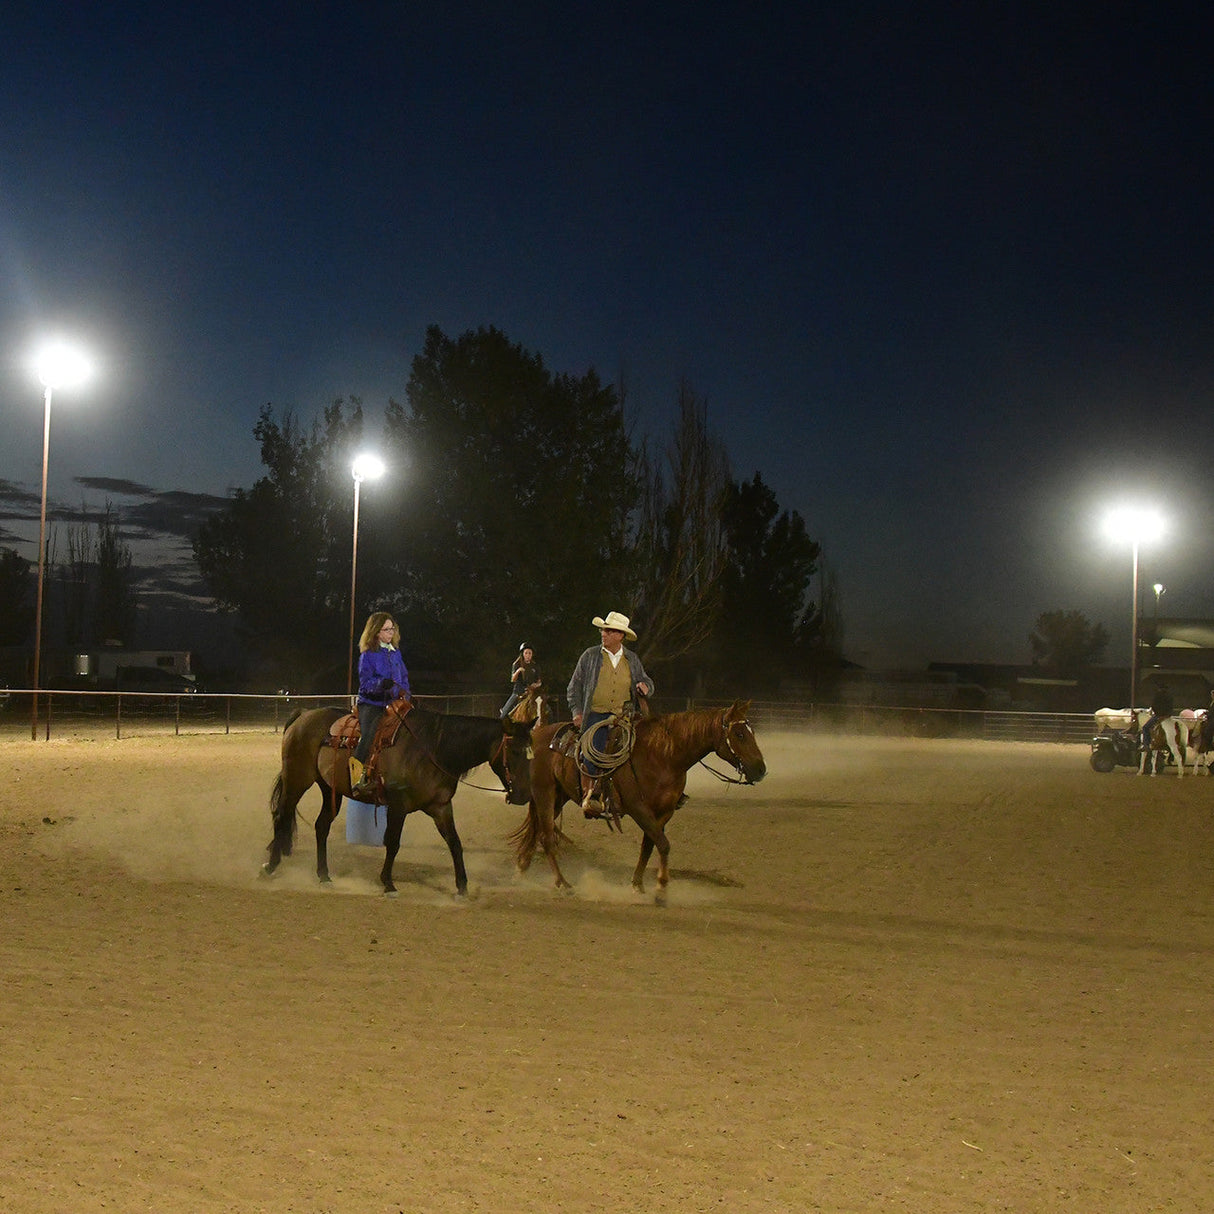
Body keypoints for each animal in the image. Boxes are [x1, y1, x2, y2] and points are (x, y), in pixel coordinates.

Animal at [263, 708, 534, 898]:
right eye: (515, 751)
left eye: (531, 752)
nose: (523, 795)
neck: (432, 750)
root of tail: (303, 716)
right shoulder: (398, 805)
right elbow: (393, 843)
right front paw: (388, 883)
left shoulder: (441, 807)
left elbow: (455, 844)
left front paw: (462, 887)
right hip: (297, 779)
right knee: (281, 816)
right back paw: (269, 867)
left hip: (330, 789)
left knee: (321, 826)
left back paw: (324, 876)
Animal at [507, 704, 762, 893]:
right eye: (739, 734)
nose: (761, 769)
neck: (663, 756)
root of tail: (539, 735)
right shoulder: (638, 807)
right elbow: (663, 844)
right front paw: (660, 887)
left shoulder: (663, 812)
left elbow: (650, 844)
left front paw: (638, 885)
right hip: (545, 792)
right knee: (546, 836)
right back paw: (562, 882)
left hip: (559, 797)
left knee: (538, 831)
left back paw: (521, 870)